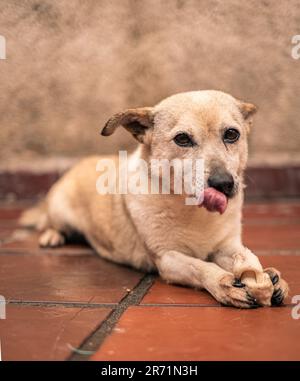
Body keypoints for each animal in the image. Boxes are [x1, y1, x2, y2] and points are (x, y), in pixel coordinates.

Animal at [19, 90, 290, 308]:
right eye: (183, 139)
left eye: (232, 134)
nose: (224, 183)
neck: (193, 211)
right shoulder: (167, 258)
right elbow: (201, 267)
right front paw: (224, 283)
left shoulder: (226, 246)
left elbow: (244, 258)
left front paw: (268, 277)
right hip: (60, 212)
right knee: (49, 222)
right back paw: (52, 236)